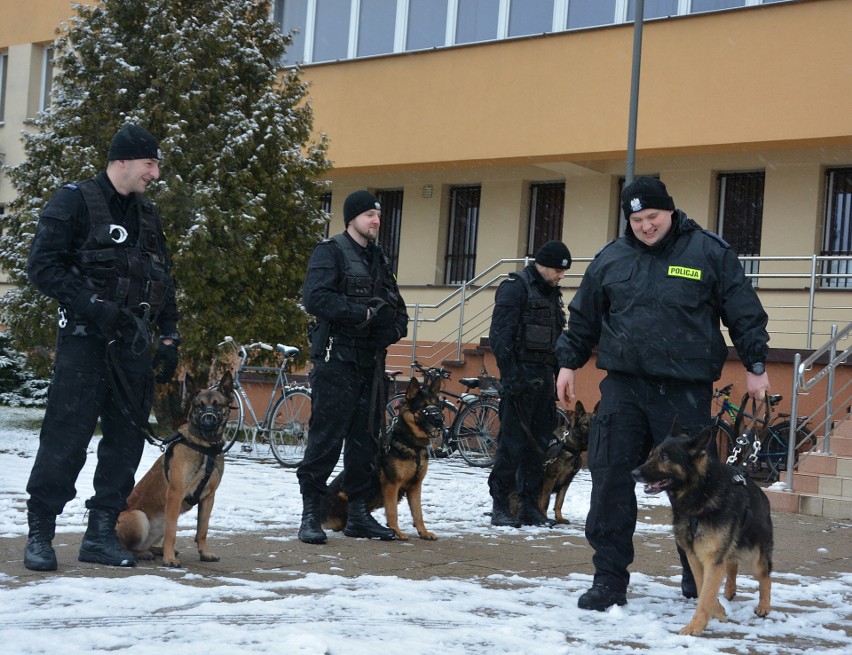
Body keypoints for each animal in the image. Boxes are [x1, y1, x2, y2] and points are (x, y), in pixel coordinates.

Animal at [116, 372, 235, 568]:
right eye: (199, 406)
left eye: (218, 404)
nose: (208, 419)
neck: (205, 447)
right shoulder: (175, 494)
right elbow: (172, 532)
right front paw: (170, 559)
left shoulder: (209, 498)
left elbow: (202, 530)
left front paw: (204, 553)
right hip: (139, 517)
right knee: (126, 546)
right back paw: (141, 553)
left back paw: (155, 550)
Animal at [322, 376, 446, 540]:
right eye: (424, 407)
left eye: (436, 406)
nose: (440, 420)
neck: (411, 444)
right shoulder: (391, 485)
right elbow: (393, 512)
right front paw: (396, 531)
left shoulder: (415, 487)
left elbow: (418, 513)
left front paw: (423, 532)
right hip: (343, 495)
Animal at [632, 426, 772, 636]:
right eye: (652, 455)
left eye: (664, 457)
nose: (633, 473)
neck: (700, 493)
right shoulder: (694, 556)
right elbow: (701, 586)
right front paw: (718, 610)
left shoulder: (712, 559)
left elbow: (706, 593)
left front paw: (695, 626)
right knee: (732, 563)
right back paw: (729, 591)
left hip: (754, 555)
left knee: (765, 576)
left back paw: (764, 606)